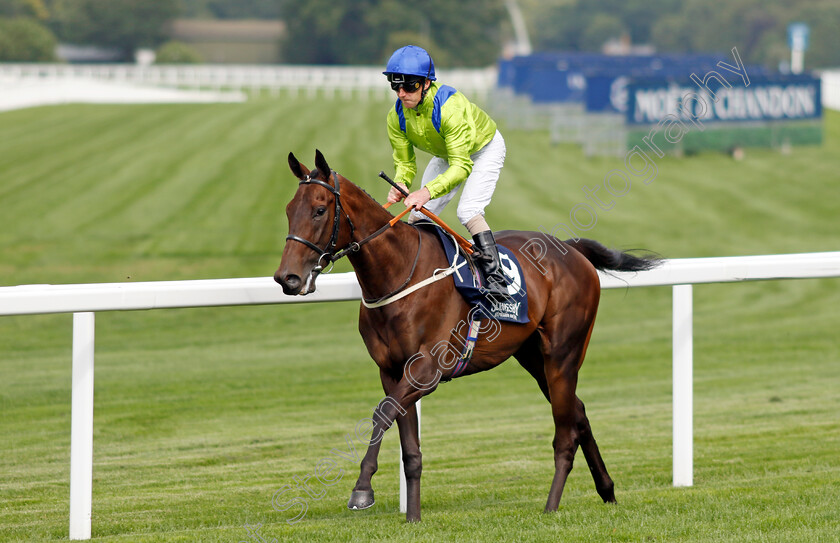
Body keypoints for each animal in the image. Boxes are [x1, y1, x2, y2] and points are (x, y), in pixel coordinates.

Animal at [272, 150, 660, 524]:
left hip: (563, 354)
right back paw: (607, 490)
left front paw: (362, 490)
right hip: (534, 357)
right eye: (289, 210)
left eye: (320, 210)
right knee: (577, 411)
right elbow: (407, 443)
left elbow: (382, 412)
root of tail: (571, 249)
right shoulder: (392, 371)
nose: (287, 278)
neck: (398, 272)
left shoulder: (427, 370)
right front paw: (413, 517)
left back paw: (551, 507)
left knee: (565, 433)